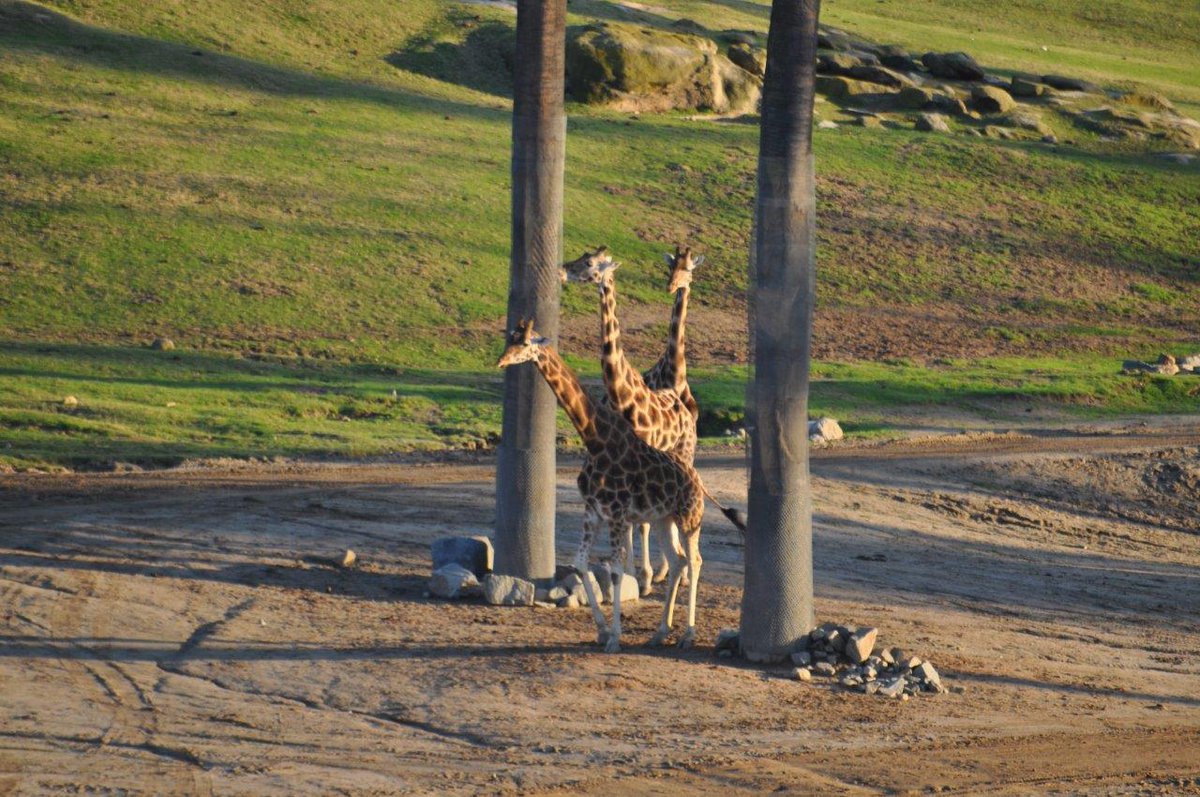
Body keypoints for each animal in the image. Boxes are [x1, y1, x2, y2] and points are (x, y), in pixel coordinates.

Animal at [494, 316, 739, 652]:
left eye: (524, 343)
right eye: (510, 338)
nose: (501, 361)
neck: (596, 440)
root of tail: (697, 479)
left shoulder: (617, 513)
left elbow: (616, 570)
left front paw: (614, 637)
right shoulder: (593, 511)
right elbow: (580, 563)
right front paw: (601, 630)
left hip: (690, 518)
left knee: (695, 560)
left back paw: (687, 634)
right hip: (663, 519)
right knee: (677, 562)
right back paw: (660, 632)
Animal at [564, 247, 700, 590]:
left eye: (588, 263)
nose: (563, 270)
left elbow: (639, 523)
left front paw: (646, 576)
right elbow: (634, 524)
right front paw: (636, 574)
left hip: (684, 453)